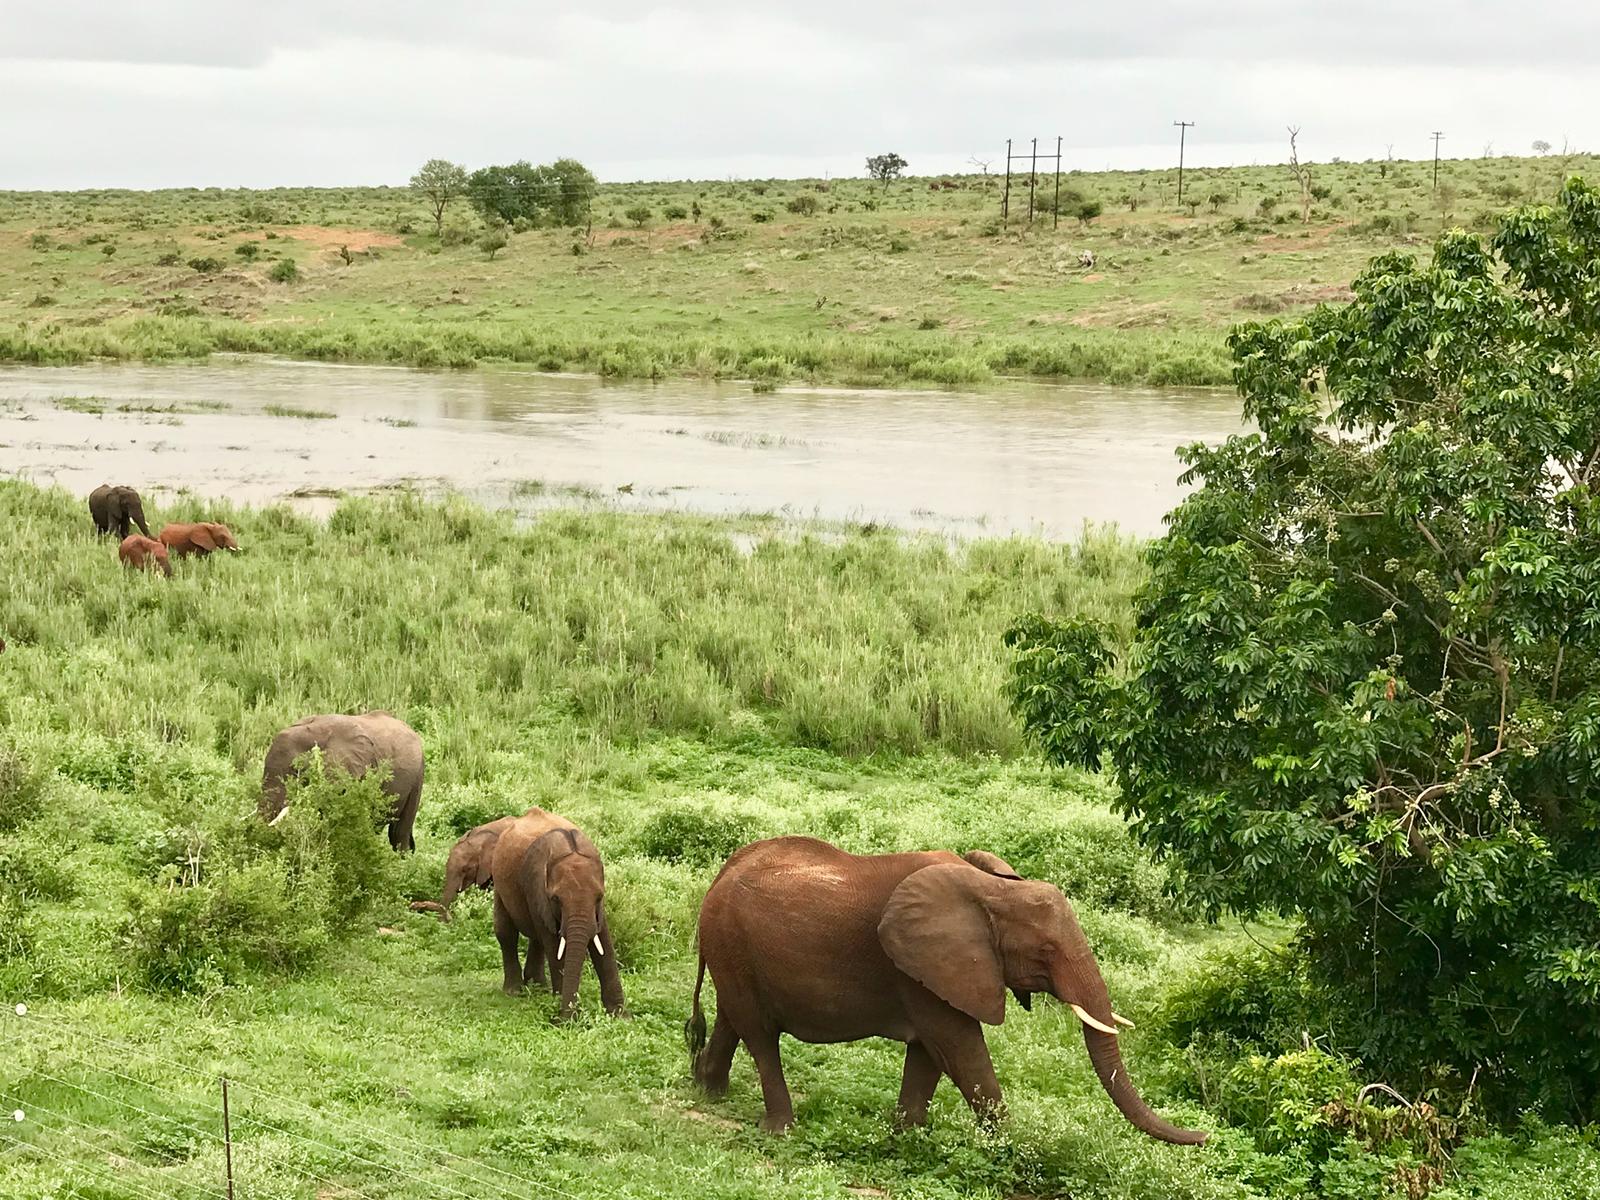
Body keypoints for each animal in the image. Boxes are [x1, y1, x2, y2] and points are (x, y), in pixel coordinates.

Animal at [489, 812, 627, 1017]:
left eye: (599, 896)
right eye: (555, 899)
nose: (566, 1016)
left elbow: (604, 943)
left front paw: (621, 1017)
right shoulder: (536, 887)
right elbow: (555, 947)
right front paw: (566, 1018)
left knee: (537, 939)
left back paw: (539, 989)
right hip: (499, 883)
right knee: (507, 933)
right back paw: (515, 991)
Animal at [684, 838, 1203, 1145]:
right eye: (1046, 952)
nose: (1204, 1137)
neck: (993, 889)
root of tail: (720, 874)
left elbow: (930, 1056)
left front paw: (907, 1138)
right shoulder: (920, 971)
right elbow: (961, 1049)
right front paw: (1014, 1151)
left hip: (733, 950)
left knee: (733, 1019)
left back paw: (708, 1090)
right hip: (731, 940)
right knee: (760, 1036)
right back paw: (780, 1130)